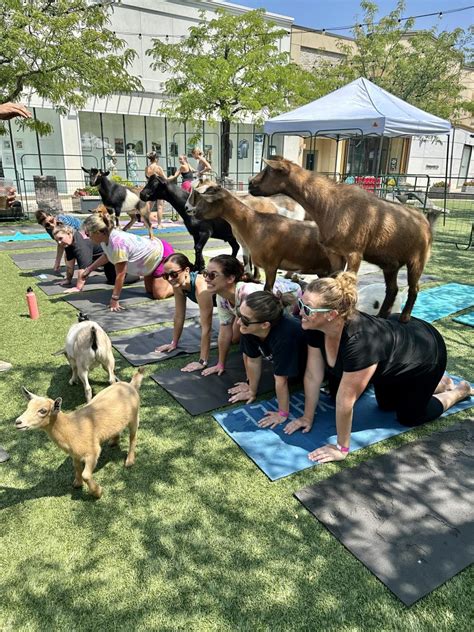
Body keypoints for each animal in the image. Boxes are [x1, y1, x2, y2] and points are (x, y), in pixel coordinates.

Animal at [14, 370, 144, 498]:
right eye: (27, 407)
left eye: (43, 411)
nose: (18, 422)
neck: (72, 428)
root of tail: (131, 385)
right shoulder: (74, 454)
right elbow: (76, 467)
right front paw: (77, 483)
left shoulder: (93, 451)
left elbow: (85, 474)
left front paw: (98, 492)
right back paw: (113, 441)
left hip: (135, 416)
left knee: (133, 437)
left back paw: (129, 461)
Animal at [183, 183, 342, 292]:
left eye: (205, 200)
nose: (191, 211)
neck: (254, 223)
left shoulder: (271, 265)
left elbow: (268, 290)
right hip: (324, 270)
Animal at [248, 158, 436, 320]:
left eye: (270, 170)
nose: (250, 185)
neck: (329, 204)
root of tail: (424, 220)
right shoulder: (334, 252)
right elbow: (335, 278)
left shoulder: (354, 252)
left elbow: (349, 282)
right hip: (391, 265)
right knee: (392, 289)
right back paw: (382, 315)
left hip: (417, 260)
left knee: (414, 288)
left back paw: (404, 318)